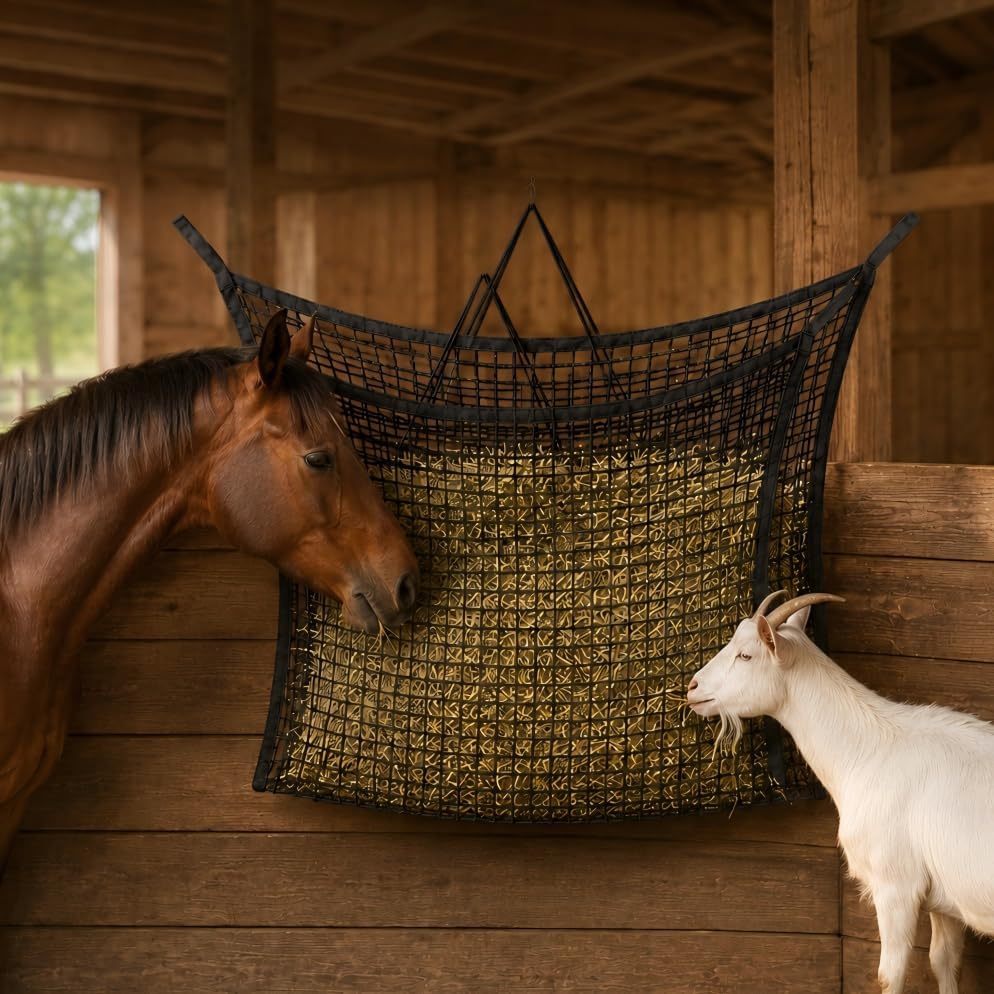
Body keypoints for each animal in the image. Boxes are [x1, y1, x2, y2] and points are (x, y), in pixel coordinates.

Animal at [686, 591, 994, 994]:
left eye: (746, 655)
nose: (692, 688)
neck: (868, 750)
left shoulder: (896, 885)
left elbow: (890, 975)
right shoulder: (943, 900)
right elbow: (944, 962)